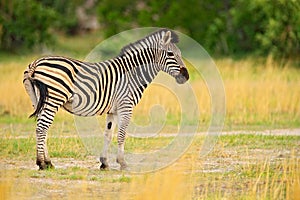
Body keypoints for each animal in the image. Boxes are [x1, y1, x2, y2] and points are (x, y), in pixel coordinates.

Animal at [23, 28, 189, 170]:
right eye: (170, 54)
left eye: (179, 53)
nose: (186, 76)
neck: (132, 74)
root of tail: (36, 63)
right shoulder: (125, 106)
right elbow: (122, 135)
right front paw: (123, 163)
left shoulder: (113, 110)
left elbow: (108, 135)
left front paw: (104, 163)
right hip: (53, 99)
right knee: (42, 128)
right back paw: (41, 163)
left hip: (38, 101)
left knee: (41, 128)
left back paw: (48, 162)